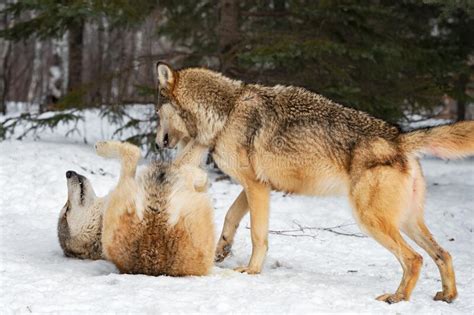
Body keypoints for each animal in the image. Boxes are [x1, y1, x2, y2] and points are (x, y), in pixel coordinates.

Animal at [156, 62, 474, 304]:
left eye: (157, 114)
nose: (157, 143)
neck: (227, 112)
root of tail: (399, 136)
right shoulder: (259, 186)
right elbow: (231, 216)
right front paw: (221, 250)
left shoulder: (256, 186)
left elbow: (258, 235)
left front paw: (251, 271)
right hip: (406, 221)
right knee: (443, 254)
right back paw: (447, 296)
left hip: (371, 221)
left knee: (415, 258)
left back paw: (397, 298)